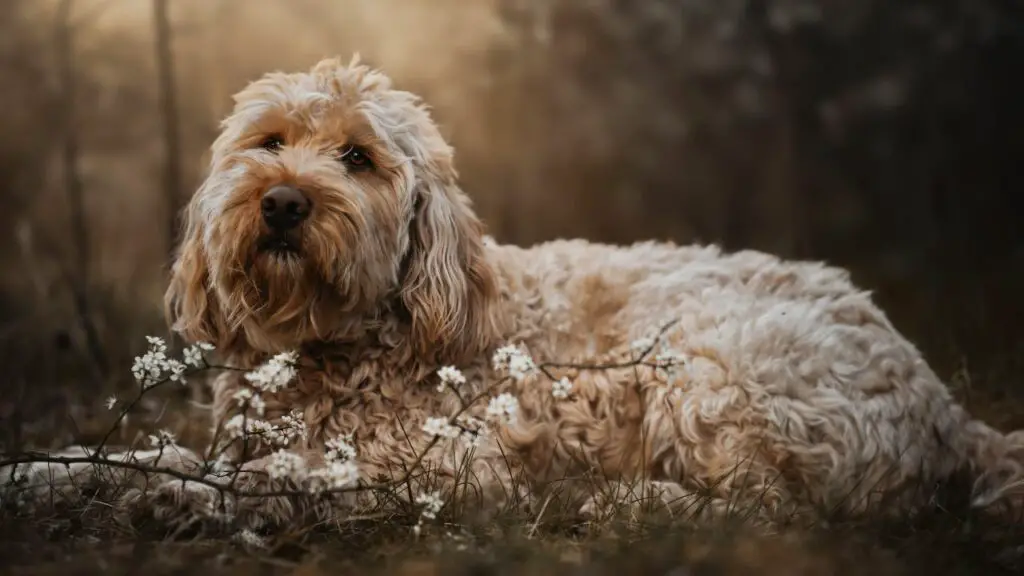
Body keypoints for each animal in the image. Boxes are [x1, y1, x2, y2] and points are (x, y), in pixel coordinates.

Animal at [151, 54, 1024, 524]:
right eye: (270, 143)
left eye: (358, 158)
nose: (282, 202)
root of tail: (948, 412)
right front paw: (142, 480)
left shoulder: (457, 469)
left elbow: (299, 472)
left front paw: (218, 492)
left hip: (705, 363)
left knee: (775, 509)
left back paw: (631, 503)